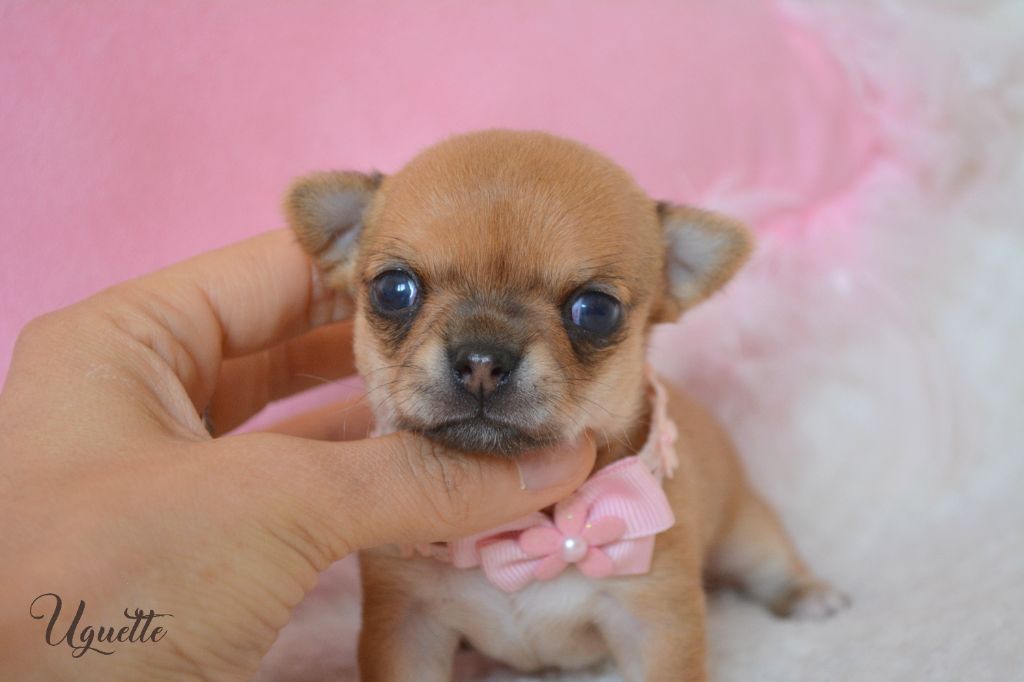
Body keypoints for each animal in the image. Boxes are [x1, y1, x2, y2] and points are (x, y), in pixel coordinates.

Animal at [285, 130, 848, 681]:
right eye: (394, 290)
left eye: (596, 310)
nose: (482, 359)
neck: (524, 530)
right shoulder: (405, 622)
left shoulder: (655, 620)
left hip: (744, 527)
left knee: (769, 561)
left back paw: (810, 595)